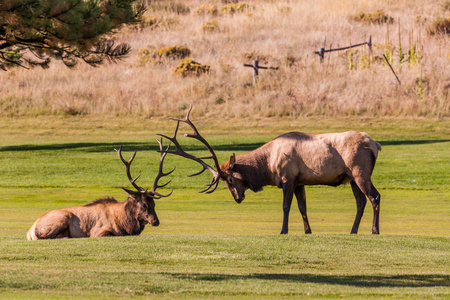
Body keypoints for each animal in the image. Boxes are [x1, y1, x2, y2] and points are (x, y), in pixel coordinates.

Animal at [26, 139, 173, 240]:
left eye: (154, 203)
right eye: (143, 204)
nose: (156, 221)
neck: (125, 222)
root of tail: (29, 231)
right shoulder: (98, 231)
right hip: (60, 219)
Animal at [160, 106, 382, 236]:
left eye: (229, 180)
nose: (238, 198)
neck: (268, 164)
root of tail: (375, 145)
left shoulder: (287, 177)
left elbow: (286, 206)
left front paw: (283, 230)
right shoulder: (300, 181)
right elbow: (303, 207)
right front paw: (308, 231)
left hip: (360, 172)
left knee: (374, 197)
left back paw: (374, 230)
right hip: (351, 178)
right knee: (361, 202)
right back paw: (353, 231)